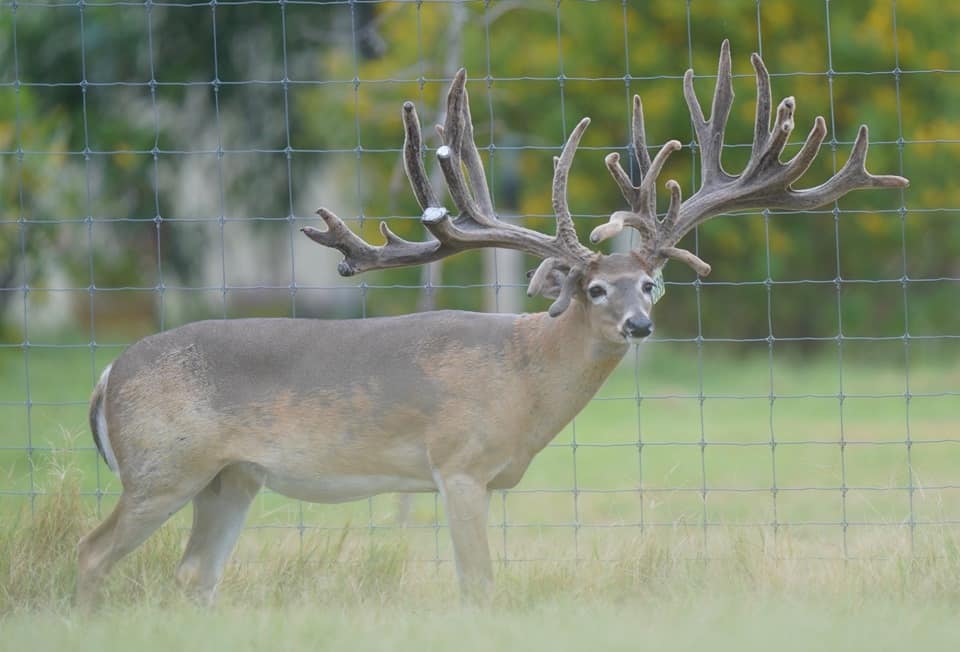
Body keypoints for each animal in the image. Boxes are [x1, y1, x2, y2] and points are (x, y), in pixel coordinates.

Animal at [76, 41, 907, 606]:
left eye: (649, 284)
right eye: (592, 289)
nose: (639, 326)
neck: (525, 378)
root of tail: (107, 374)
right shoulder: (459, 464)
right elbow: (478, 584)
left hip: (230, 478)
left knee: (193, 573)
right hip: (162, 465)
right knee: (92, 552)